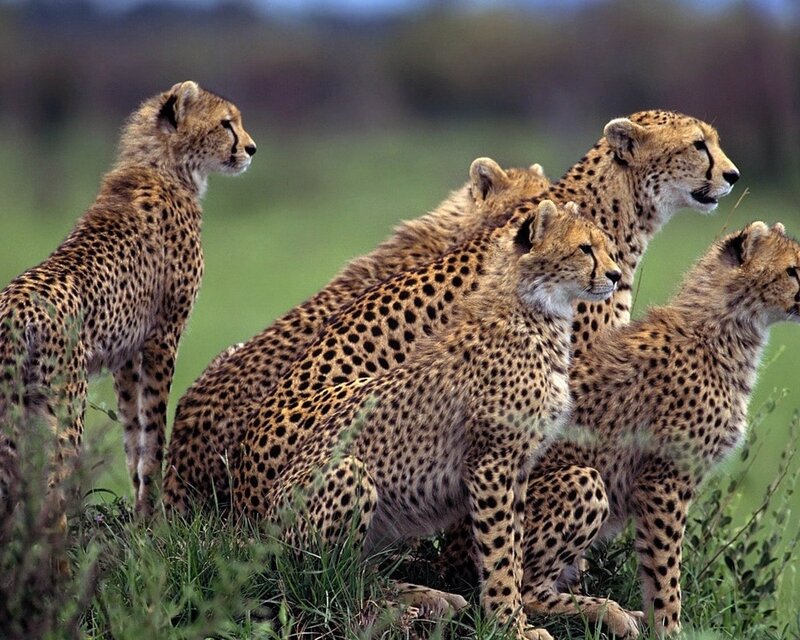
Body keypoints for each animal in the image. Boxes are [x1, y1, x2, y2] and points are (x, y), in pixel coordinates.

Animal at [0, 81, 256, 523]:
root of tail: (16, 307)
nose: (252, 148)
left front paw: (140, 512)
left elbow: (132, 436)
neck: (164, 166)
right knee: (52, 487)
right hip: (62, 403)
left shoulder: (125, 354)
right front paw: (154, 518)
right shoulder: (162, 337)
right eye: (227, 123)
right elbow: (153, 433)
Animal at [233, 200, 622, 640]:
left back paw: (431, 597)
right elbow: (500, 552)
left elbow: (514, 546)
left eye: (605, 245)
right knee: (328, 578)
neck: (536, 311)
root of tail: (259, 529)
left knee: (360, 571)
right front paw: (509, 624)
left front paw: (515, 617)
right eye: (585, 248)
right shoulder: (491, 464)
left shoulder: (518, 468)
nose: (615, 275)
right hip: (348, 475)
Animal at [511, 221, 799, 637]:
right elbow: (666, 572)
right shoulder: (664, 482)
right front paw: (669, 628)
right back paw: (611, 613)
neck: (726, 326)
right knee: (527, 589)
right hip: (582, 481)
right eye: (793, 270)